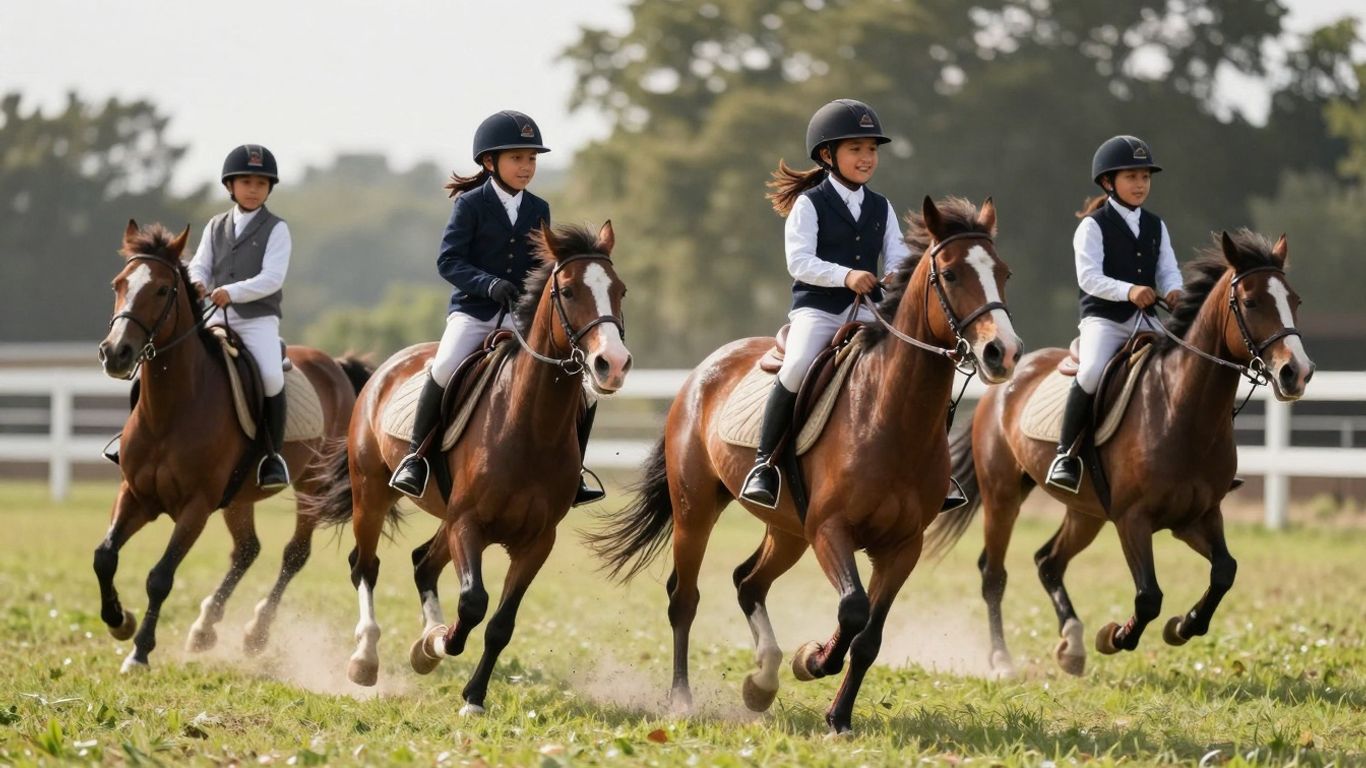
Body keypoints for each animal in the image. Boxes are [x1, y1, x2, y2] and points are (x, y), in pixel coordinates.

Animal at [94, 220, 369, 673]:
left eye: (162, 290)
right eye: (118, 284)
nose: (116, 353)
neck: (171, 411)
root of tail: (336, 367)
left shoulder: (196, 507)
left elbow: (160, 577)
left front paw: (140, 650)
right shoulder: (135, 494)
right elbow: (104, 556)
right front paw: (119, 621)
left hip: (311, 489)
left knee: (294, 554)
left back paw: (256, 632)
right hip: (240, 497)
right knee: (247, 551)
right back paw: (205, 627)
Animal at [302, 221, 631, 714]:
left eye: (620, 290)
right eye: (570, 291)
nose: (613, 365)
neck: (530, 426)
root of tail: (386, 368)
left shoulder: (537, 541)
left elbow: (500, 623)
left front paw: (466, 688)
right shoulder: (467, 524)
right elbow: (473, 603)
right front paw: (438, 645)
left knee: (422, 563)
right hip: (372, 494)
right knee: (366, 565)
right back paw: (365, 660)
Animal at [587, 197, 1022, 734]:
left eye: (1002, 272)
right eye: (952, 273)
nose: (1003, 353)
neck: (890, 414)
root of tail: (700, 373)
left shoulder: (902, 547)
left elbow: (869, 637)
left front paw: (838, 716)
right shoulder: (830, 530)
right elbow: (853, 611)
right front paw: (812, 659)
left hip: (787, 530)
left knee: (747, 581)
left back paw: (761, 682)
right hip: (697, 511)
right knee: (683, 598)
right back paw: (685, 699)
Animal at [925, 229, 1314, 677]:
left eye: (1295, 300)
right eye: (1250, 302)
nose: (1297, 373)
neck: (1182, 409)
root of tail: (1004, 379)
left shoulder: (1198, 516)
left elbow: (1224, 572)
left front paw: (1183, 626)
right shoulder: (1133, 520)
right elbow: (1148, 596)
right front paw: (1115, 637)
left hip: (1085, 512)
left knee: (1048, 561)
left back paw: (1071, 645)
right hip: (1003, 495)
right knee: (994, 572)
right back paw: (1003, 659)